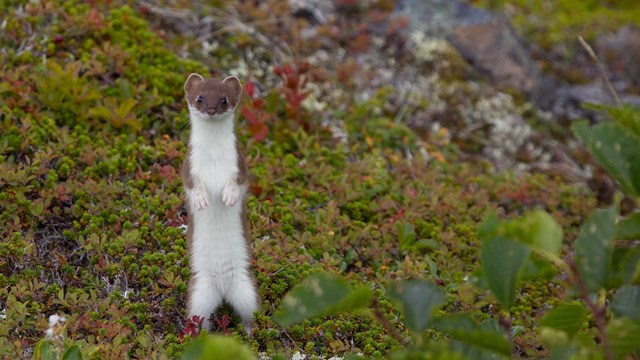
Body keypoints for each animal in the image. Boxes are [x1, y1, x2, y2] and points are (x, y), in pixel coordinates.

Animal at [182, 74, 258, 334]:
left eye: (224, 99)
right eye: (200, 97)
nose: (212, 110)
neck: (214, 154)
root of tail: (222, 288)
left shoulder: (239, 162)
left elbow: (237, 182)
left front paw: (230, 196)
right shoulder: (190, 165)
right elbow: (193, 184)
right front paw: (201, 199)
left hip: (246, 287)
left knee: (250, 311)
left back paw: (249, 331)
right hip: (199, 292)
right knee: (199, 316)